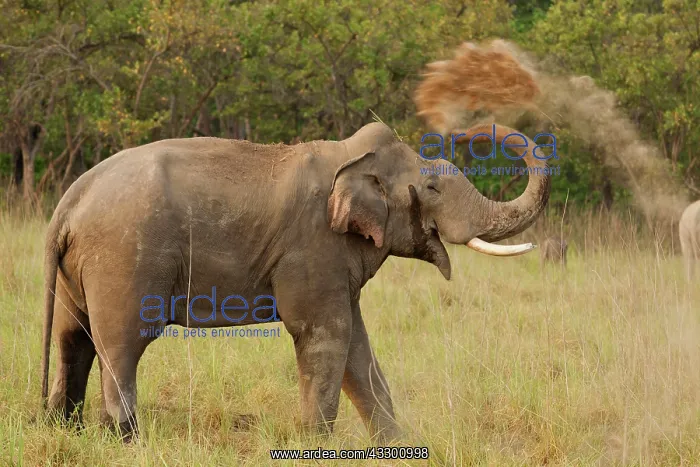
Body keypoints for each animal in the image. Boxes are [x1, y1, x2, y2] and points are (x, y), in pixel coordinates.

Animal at [41, 121, 551, 442]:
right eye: (432, 188)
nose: (464, 130)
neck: (350, 156)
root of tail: (68, 203)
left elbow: (356, 346)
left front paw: (397, 444)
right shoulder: (314, 247)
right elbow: (326, 335)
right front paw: (315, 445)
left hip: (81, 269)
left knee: (73, 338)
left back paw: (66, 431)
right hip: (125, 258)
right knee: (122, 344)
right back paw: (125, 440)